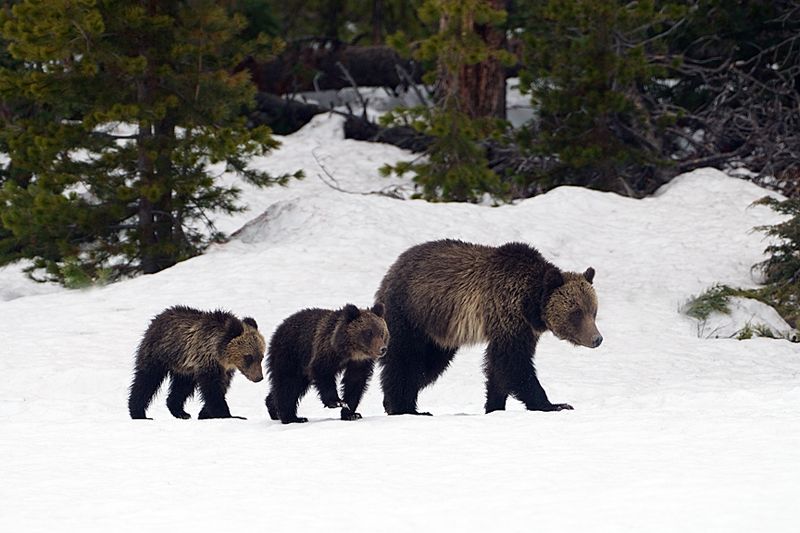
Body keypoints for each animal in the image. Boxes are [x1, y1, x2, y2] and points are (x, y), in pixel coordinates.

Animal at [128, 306, 266, 418]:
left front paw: (204, 414)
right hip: (159, 353)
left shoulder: (223, 369)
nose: (259, 377)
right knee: (147, 380)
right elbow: (212, 389)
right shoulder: (207, 360)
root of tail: (158, 317)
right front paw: (227, 414)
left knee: (182, 387)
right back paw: (138, 412)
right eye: (248, 357)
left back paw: (180, 412)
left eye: (261, 357)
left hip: (184, 368)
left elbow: (221, 386)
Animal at [376, 238, 600, 416]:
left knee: (427, 366)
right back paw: (403, 407)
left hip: (437, 331)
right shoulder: (507, 314)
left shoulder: (524, 330)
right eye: (576, 312)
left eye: (594, 311)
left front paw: (494, 405)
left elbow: (499, 368)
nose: (597, 339)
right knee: (406, 359)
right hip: (411, 313)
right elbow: (513, 364)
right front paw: (555, 404)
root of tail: (392, 268)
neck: (531, 306)